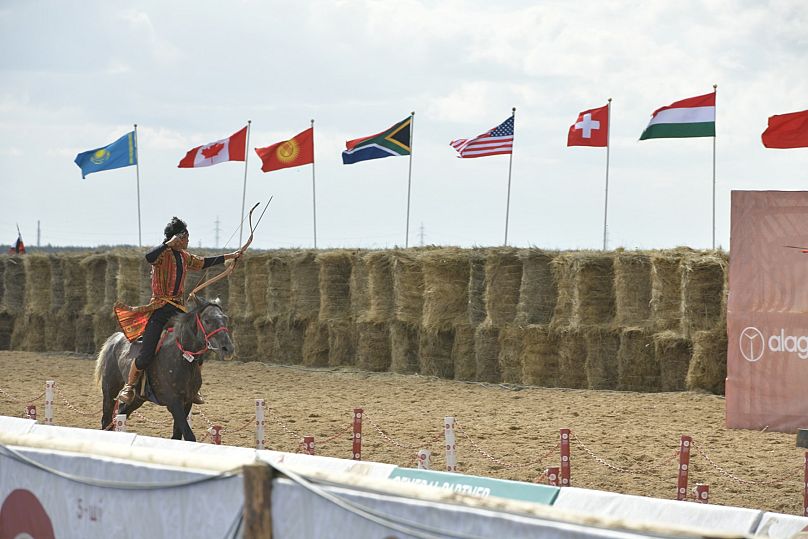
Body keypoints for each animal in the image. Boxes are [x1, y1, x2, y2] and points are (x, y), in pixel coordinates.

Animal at [95, 300, 235, 442]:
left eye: (225, 318)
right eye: (207, 320)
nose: (228, 349)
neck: (182, 358)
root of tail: (115, 339)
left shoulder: (187, 402)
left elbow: (177, 435)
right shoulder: (174, 403)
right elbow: (189, 436)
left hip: (138, 399)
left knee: (120, 413)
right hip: (109, 391)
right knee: (106, 420)